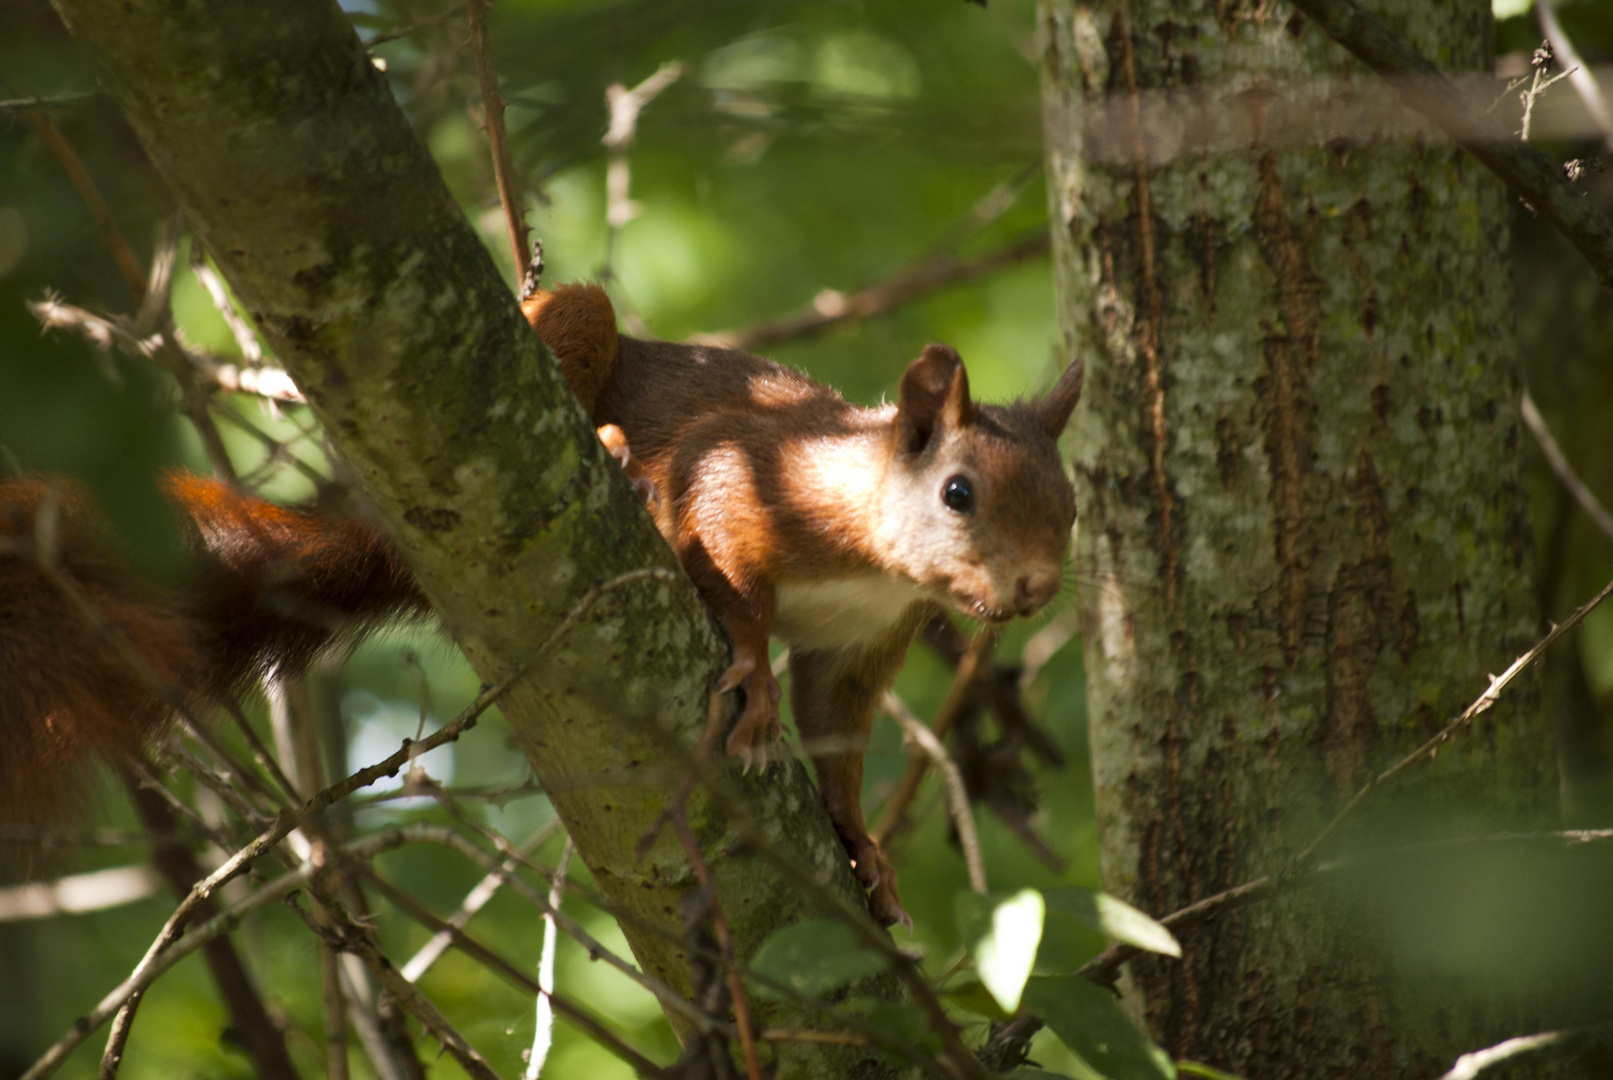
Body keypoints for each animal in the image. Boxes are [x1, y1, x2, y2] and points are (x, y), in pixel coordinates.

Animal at [6, 286, 1083, 928]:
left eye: (1072, 505)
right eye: (958, 493)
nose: (1033, 589)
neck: (872, 558)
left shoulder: (860, 644)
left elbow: (839, 736)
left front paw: (861, 846)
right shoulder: (756, 476)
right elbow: (725, 551)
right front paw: (748, 670)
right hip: (565, 326)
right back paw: (613, 458)